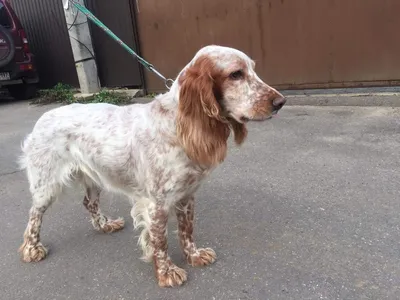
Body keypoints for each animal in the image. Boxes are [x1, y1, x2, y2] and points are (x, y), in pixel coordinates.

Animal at [18, 44, 284, 286]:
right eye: (236, 74)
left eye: (252, 69)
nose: (280, 102)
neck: (177, 125)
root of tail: (43, 117)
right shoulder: (157, 203)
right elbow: (160, 240)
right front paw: (167, 273)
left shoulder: (186, 195)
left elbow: (187, 230)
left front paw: (194, 255)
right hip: (46, 184)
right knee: (33, 215)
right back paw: (32, 249)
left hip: (94, 177)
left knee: (89, 203)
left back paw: (106, 225)